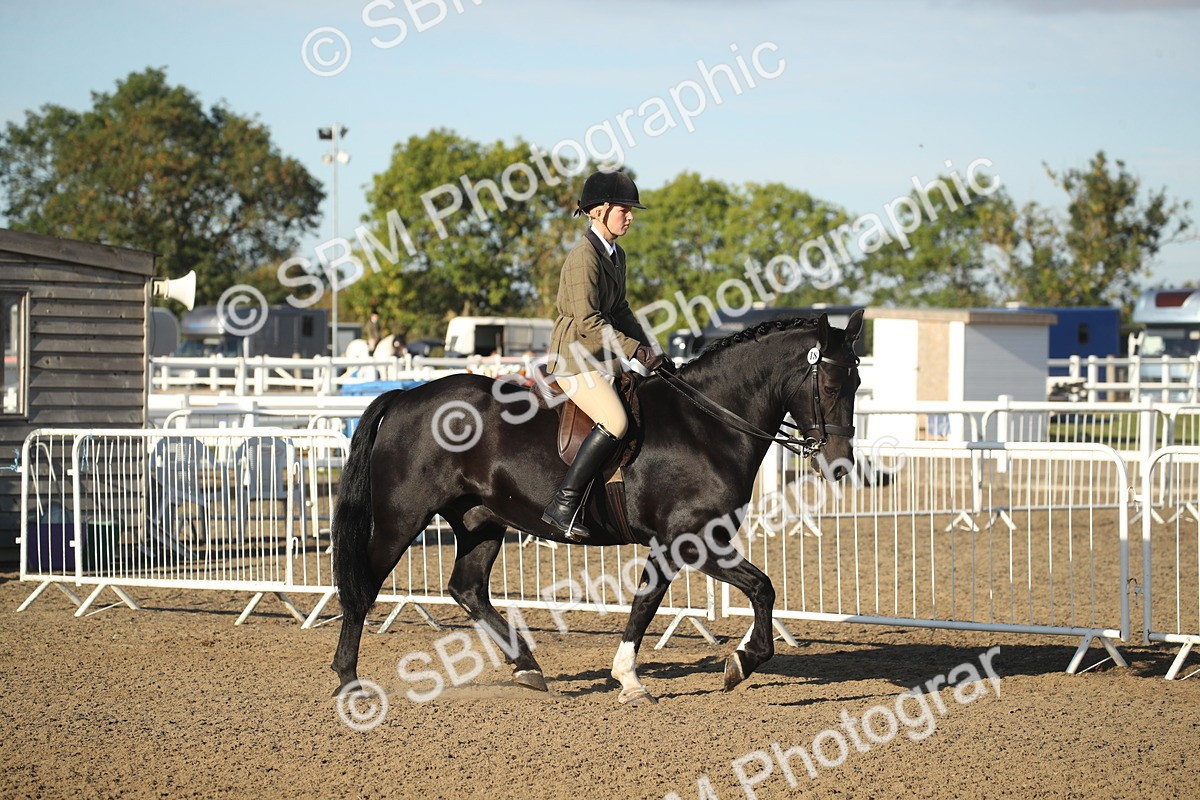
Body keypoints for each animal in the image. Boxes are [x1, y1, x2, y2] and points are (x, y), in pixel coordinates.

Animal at [330, 309, 864, 705]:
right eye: (830, 386)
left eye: (858, 384)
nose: (840, 465)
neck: (707, 424)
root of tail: (406, 397)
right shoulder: (691, 540)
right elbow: (745, 590)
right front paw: (732, 663)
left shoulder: (681, 544)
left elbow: (674, 599)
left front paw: (668, 672)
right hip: (401, 519)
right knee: (363, 588)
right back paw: (348, 679)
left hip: (481, 521)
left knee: (467, 589)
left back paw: (528, 669)